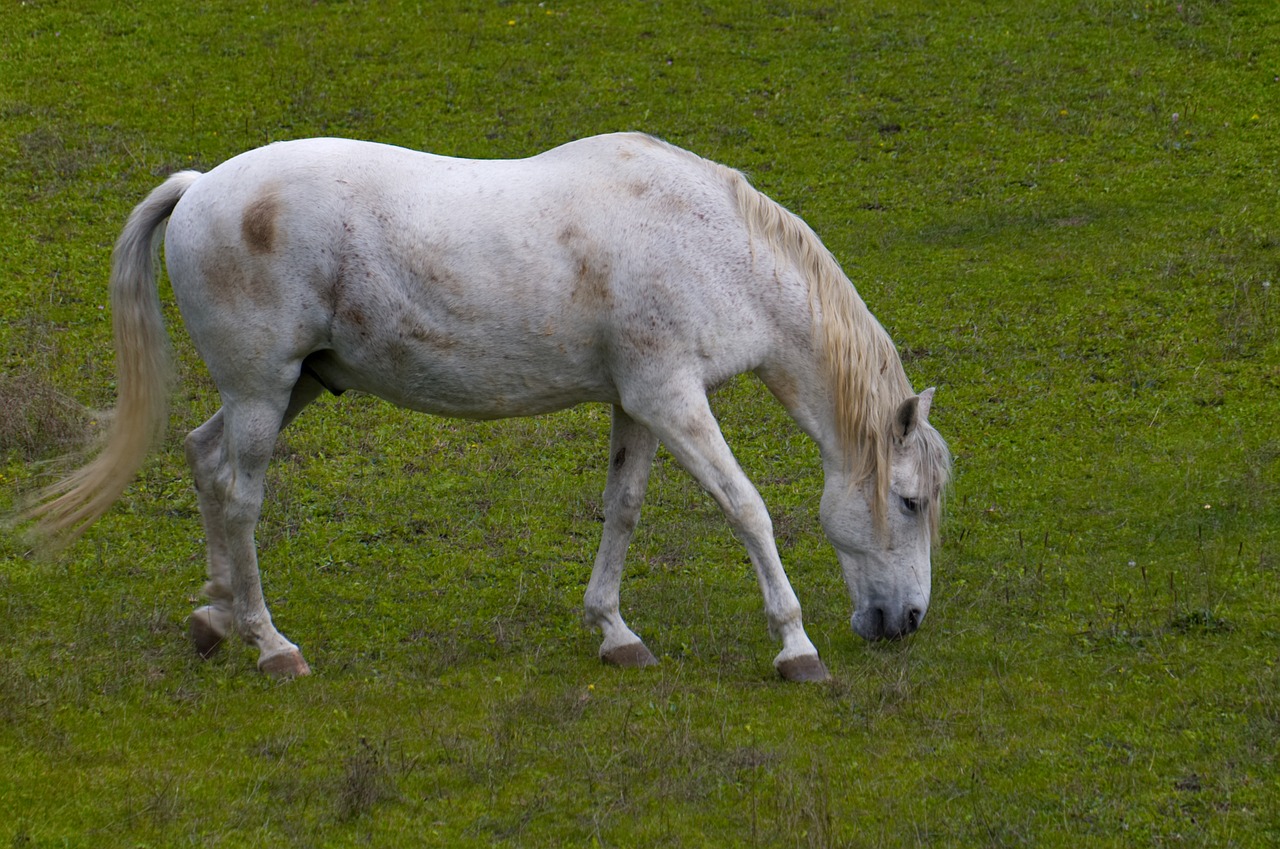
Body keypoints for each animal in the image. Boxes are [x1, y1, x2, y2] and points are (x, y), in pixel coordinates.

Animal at [27, 133, 952, 681]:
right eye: (908, 501)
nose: (906, 620)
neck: (709, 241)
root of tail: (198, 187)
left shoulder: (639, 403)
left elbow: (623, 507)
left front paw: (614, 631)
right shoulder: (673, 398)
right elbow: (748, 508)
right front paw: (795, 646)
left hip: (291, 387)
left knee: (202, 456)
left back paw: (216, 616)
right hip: (262, 393)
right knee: (237, 494)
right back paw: (270, 643)